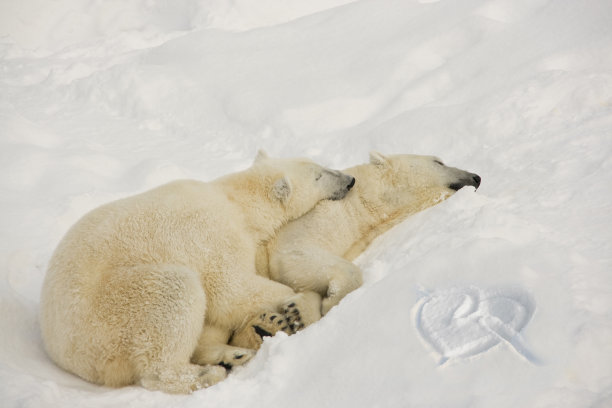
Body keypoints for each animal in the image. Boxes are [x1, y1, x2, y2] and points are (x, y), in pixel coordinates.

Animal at [39, 151, 354, 394]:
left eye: (319, 165)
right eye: (319, 174)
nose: (350, 180)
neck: (236, 202)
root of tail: (64, 352)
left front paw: (272, 318)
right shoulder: (215, 237)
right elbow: (231, 289)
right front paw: (300, 308)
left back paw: (234, 355)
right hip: (114, 309)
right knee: (174, 298)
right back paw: (207, 373)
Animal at [256, 152, 480, 326]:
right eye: (438, 162)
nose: (476, 177)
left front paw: (299, 312)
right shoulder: (313, 217)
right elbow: (295, 252)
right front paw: (327, 304)